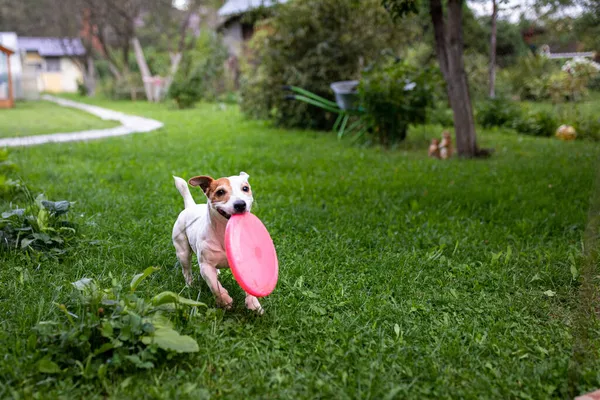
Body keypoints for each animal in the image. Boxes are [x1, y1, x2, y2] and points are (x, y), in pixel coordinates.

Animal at [170, 171, 262, 312]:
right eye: (220, 192)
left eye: (245, 188)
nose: (240, 204)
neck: (225, 232)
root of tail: (191, 206)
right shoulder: (205, 266)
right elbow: (214, 286)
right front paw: (224, 300)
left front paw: (253, 302)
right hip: (182, 251)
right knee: (186, 270)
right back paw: (190, 285)